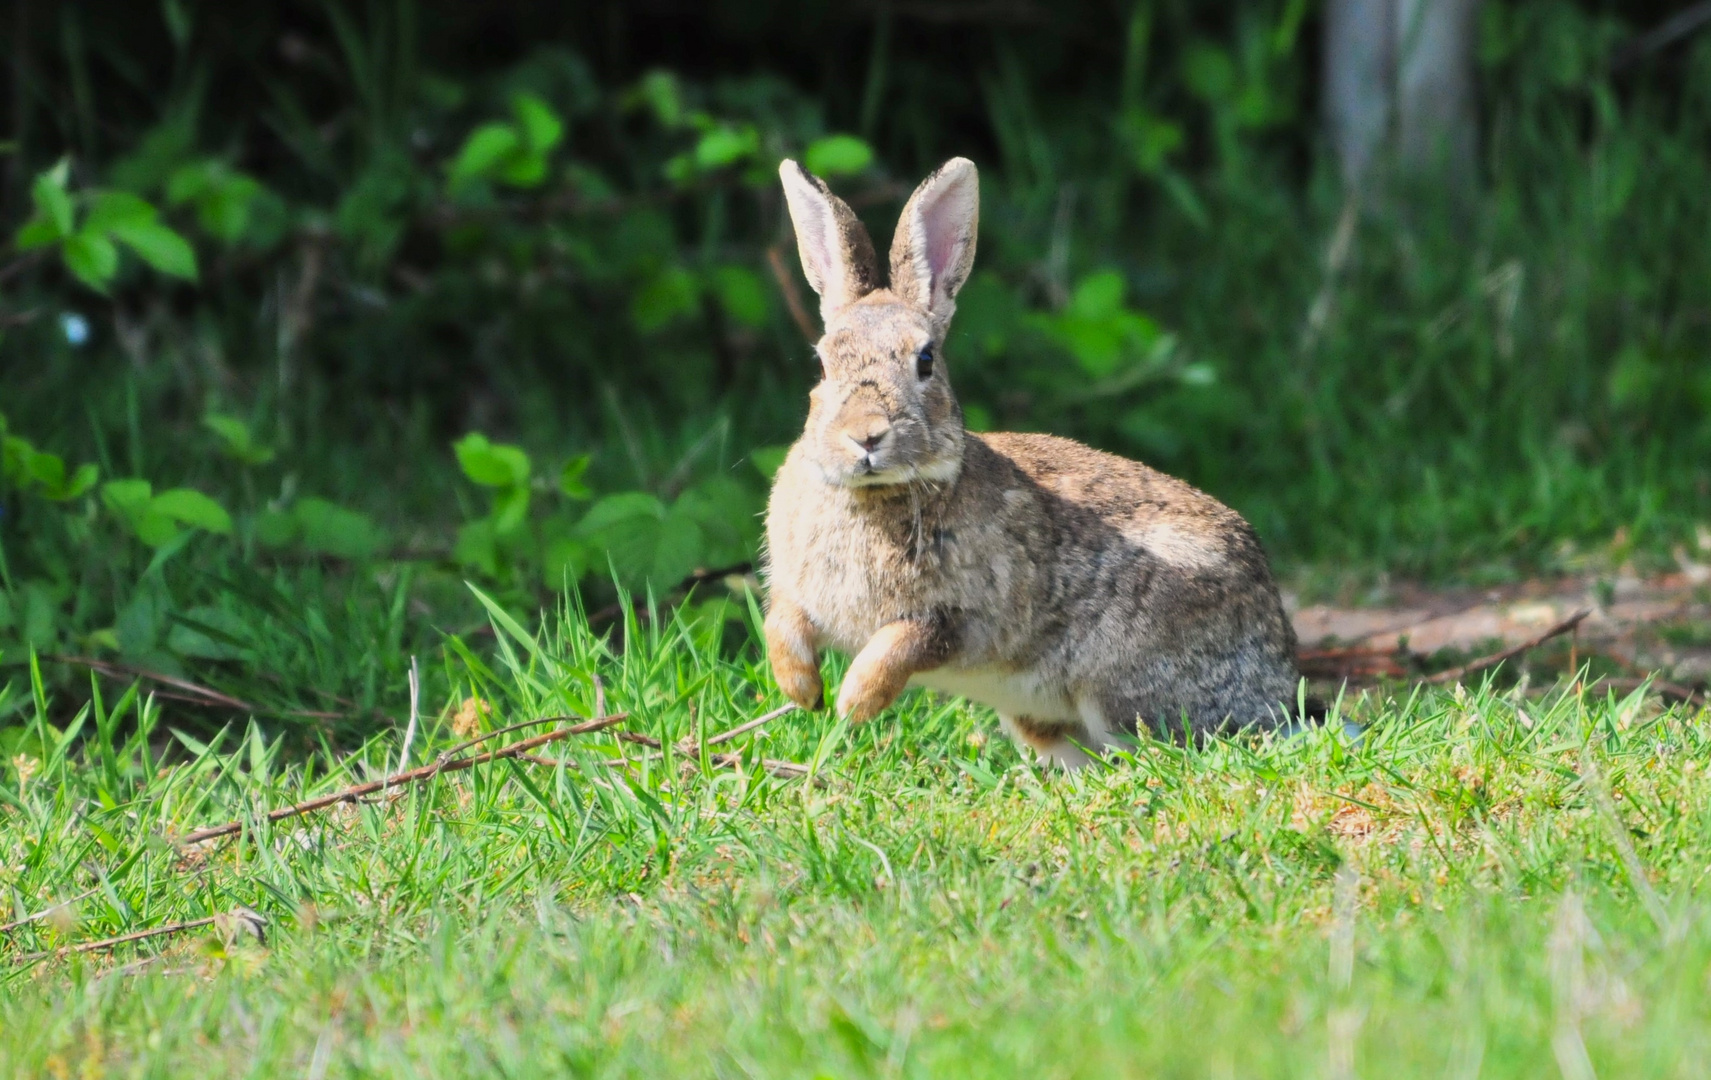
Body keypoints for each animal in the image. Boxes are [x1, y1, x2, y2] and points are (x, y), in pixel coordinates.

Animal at [763, 158, 1293, 770]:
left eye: (926, 361)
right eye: (823, 364)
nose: (865, 435)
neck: (875, 494)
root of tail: (1280, 681)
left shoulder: (962, 619)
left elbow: (906, 644)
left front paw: (853, 702)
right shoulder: (797, 594)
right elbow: (780, 621)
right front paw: (803, 690)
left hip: (1122, 683)